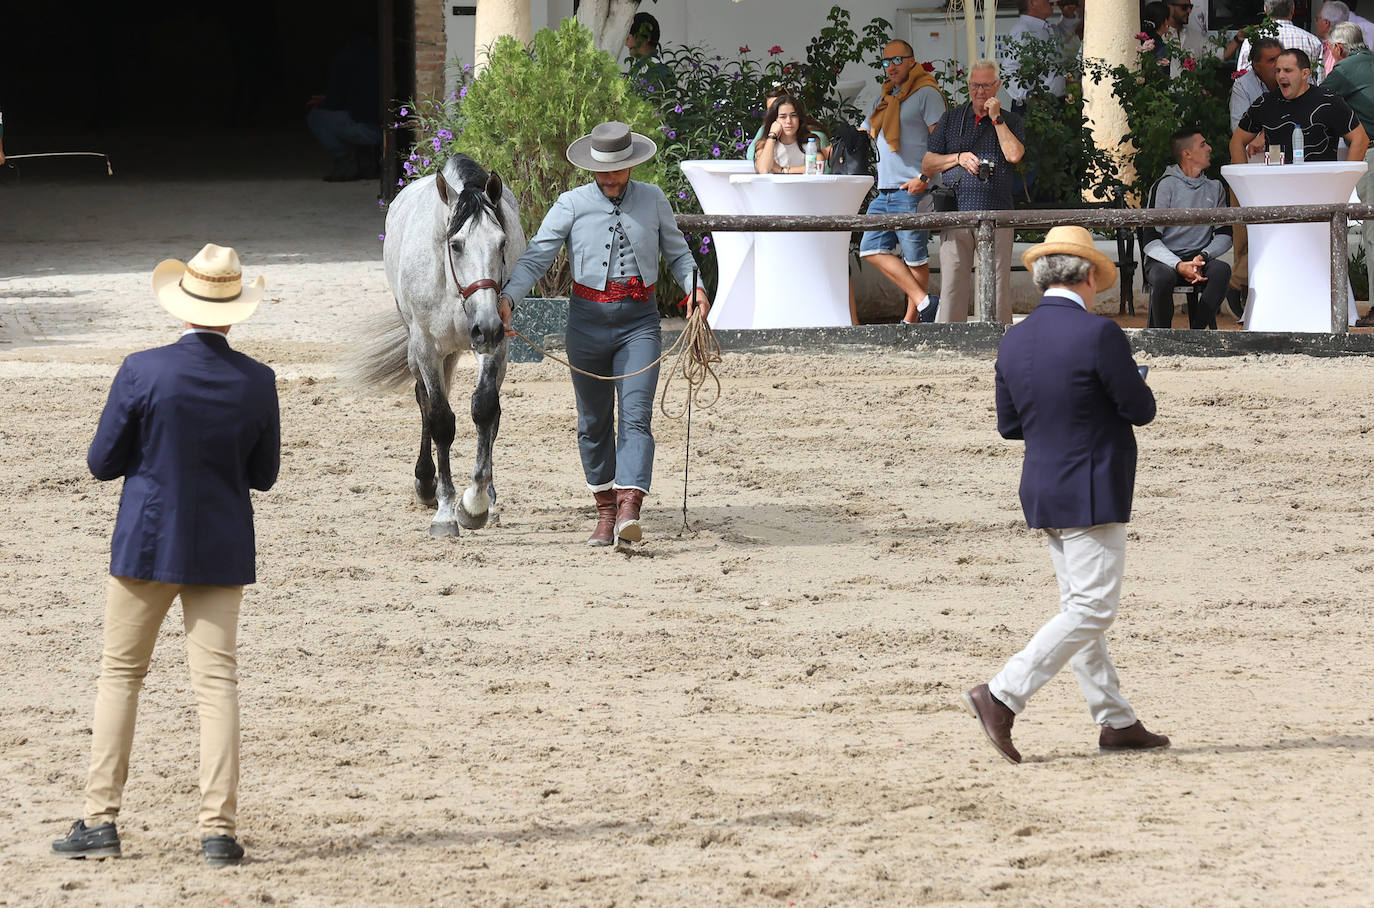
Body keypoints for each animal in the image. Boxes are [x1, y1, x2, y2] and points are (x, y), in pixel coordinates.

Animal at [354, 153, 524, 535]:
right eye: (456, 244)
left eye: (502, 242)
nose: (486, 327)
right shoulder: (427, 348)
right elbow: (441, 420)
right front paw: (446, 511)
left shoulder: (496, 346)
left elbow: (485, 409)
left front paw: (475, 504)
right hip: (421, 351)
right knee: (425, 402)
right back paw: (425, 483)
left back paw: (489, 500)